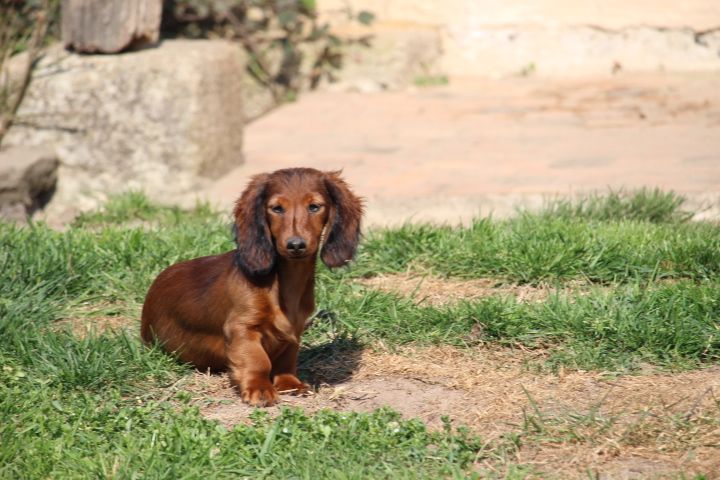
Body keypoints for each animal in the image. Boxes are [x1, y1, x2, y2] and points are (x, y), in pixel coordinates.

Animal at [141, 168, 362, 404]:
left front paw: (290, 383)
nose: (295, 245)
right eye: (277, 208)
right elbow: (258, 359)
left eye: (314, 206)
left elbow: (287, 357)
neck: (284, 282)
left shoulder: (295, 328)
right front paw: (259, 388)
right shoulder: (241, 327)